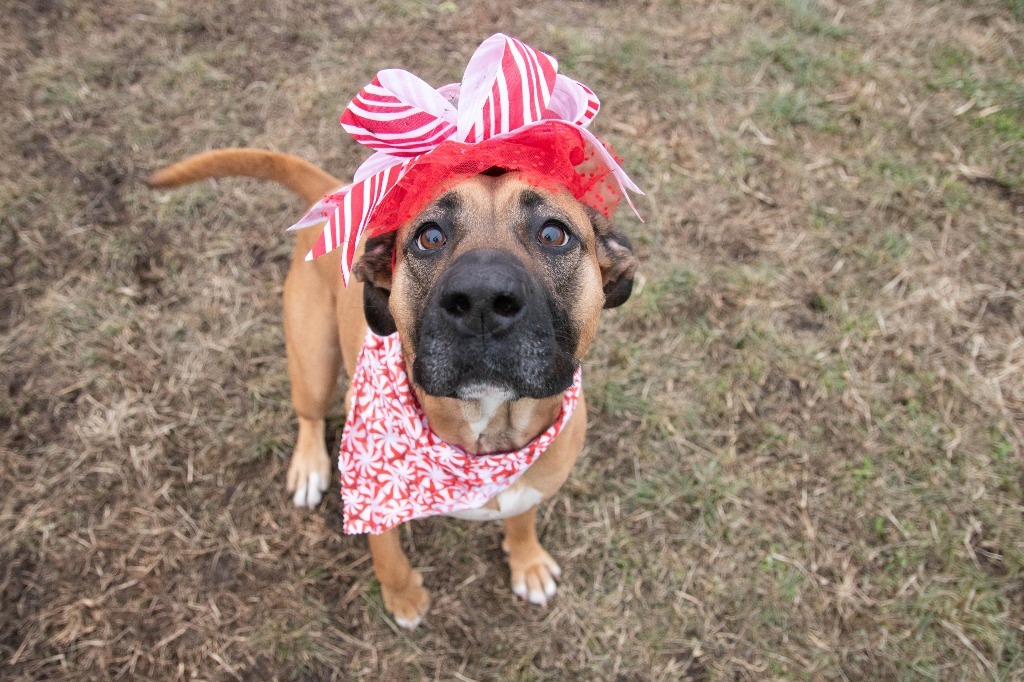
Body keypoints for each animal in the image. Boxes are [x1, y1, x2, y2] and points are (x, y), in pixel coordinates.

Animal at [149, 150, 634, 626]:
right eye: (430, 237)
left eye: (553, 234)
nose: (481, 300)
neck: (487, 432)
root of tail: (337, 193)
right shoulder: (372, 490)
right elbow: (388, 555)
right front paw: (404, 599)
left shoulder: (530, 485)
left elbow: (522, 519)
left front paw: (527, 560)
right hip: (314, 363)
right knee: (309, 414)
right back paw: (309, 466)